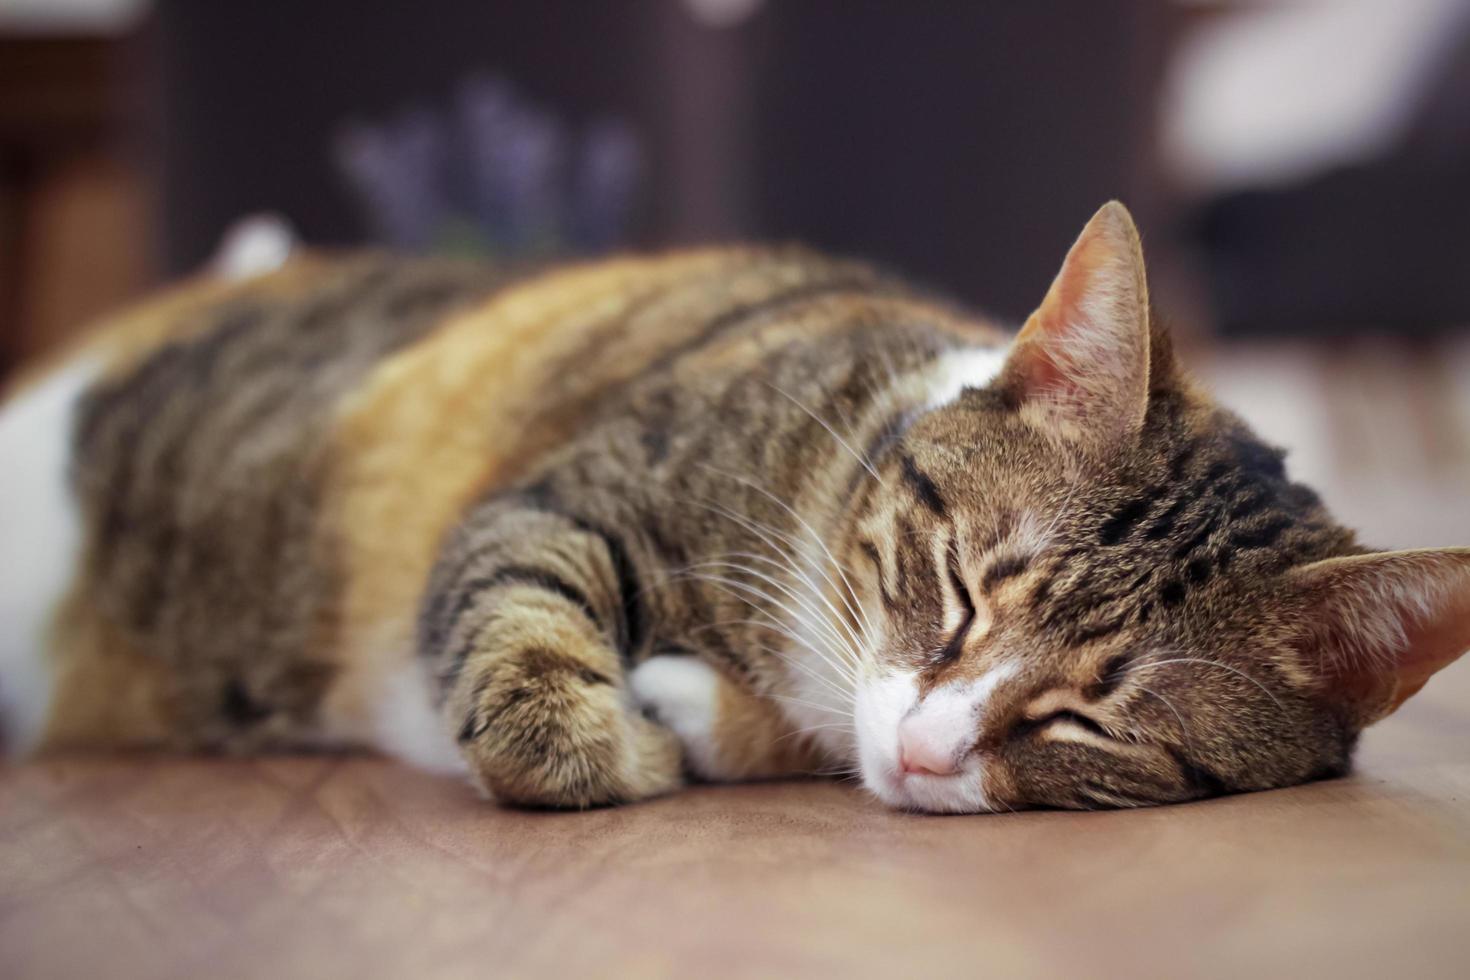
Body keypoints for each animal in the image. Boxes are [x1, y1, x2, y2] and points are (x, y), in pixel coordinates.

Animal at [2, 201, 1470, 811]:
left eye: (1092, 722)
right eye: (956, 588)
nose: (927, 750)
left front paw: (704, 718)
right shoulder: (558, 497)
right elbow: (525, 657)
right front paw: (620, 742)